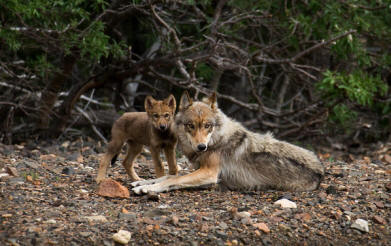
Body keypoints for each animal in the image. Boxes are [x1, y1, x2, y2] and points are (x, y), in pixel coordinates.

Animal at [132, 91, 324, 194]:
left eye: (207, 126)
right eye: (191, 126)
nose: (202, 147)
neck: (216, 140)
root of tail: (321, 171)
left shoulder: (209, 174)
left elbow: (174, 179)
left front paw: (149, 188)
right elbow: (170, 176)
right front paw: (143, 182)